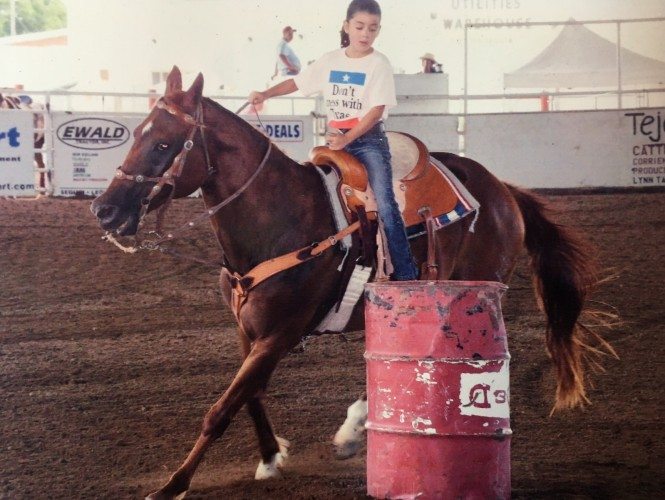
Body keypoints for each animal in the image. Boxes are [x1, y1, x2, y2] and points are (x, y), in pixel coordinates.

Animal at [91, 67, 608, 500]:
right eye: (136, 133)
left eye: (164, 144)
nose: (104, 209)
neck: (280, 218)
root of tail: (503, 190)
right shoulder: (247, 331)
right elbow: (249, 396)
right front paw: (270, 456)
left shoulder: (280, 334)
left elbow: (220, 410)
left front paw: (172, 486)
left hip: (472, 291)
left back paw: (356, 426)